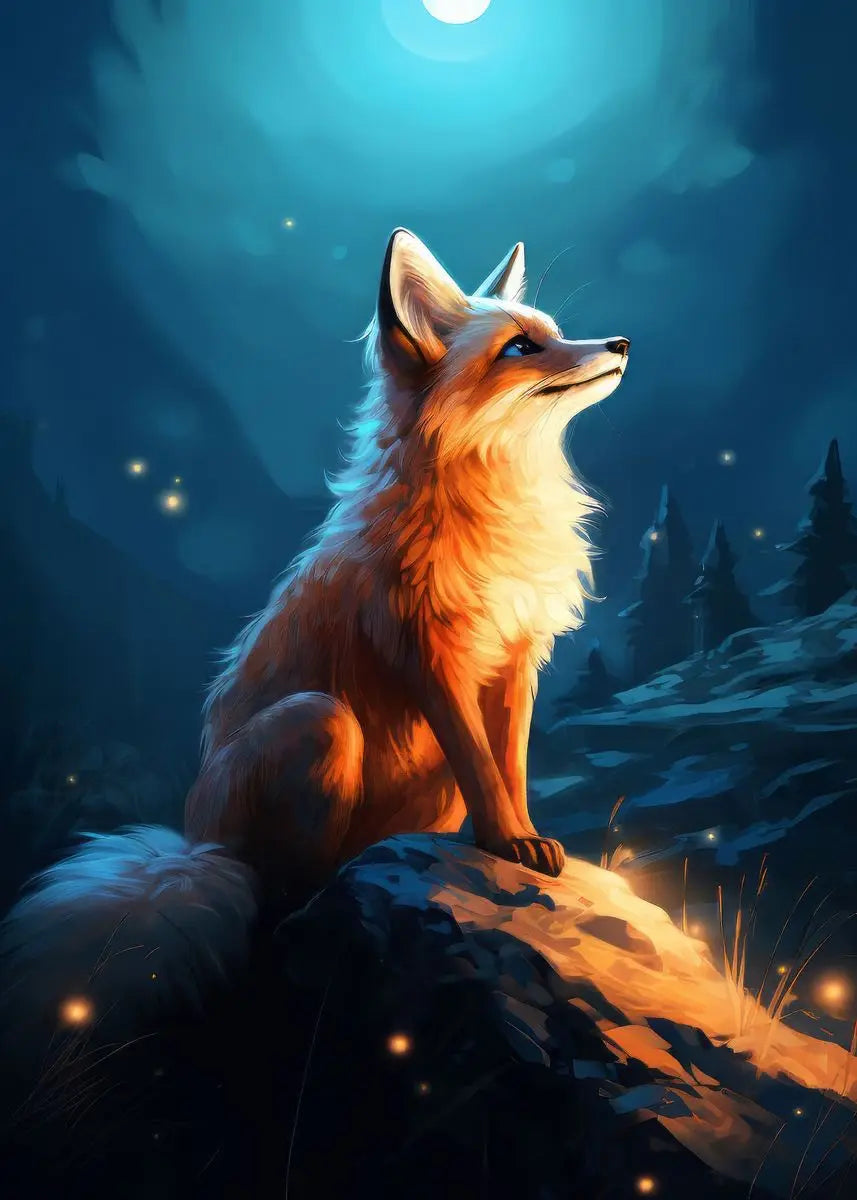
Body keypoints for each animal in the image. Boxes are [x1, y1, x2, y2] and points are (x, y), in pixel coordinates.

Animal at [0, 230, 629, 1034]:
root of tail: (196, 843)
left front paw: (521, 841)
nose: (620, 342)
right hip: (321, 723)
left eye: (555, 331)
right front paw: (505, 841)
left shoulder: (516, 657)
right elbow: (481, 763)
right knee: (278, 898)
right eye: (521, 347)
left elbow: (509, 765)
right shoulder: (425, 652)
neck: (491, 506)